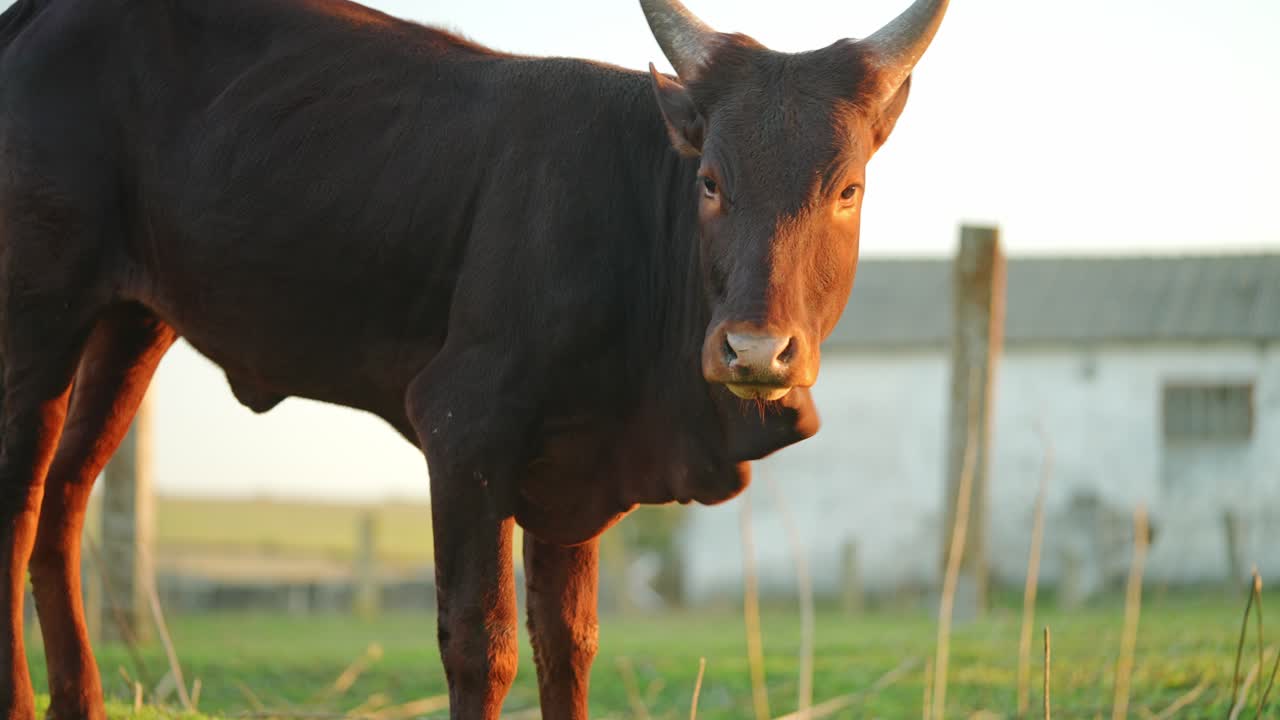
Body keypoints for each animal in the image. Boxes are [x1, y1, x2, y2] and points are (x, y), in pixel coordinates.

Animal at [0, 0, 948, 717]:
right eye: (711, 180)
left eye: (848, 188)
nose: (755, 350)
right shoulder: (465, 430)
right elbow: (479, 639)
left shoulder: (576, 472)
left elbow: (568, 642)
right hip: (37, 319)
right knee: (21, 504)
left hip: (129, 326)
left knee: (66, 503)